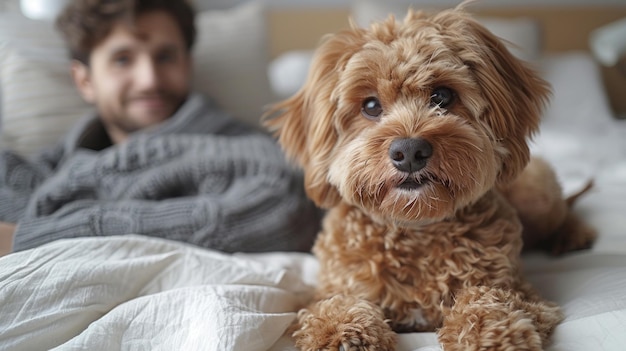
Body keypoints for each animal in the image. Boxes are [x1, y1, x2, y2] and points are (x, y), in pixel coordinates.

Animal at [260, 3, 592, 351]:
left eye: (442, 96)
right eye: (370, 105)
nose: (409, 151)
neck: (415, 227)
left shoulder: (519, 291)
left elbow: (489, 298)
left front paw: (490, 332)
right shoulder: (328, 290)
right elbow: (336, 304)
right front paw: (345, 333)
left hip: (536, 192)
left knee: (563, 211)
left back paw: (573, 234)